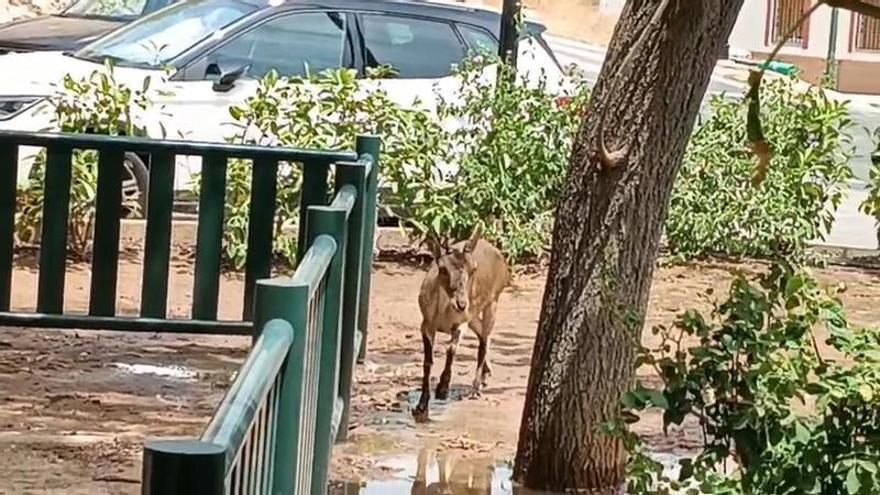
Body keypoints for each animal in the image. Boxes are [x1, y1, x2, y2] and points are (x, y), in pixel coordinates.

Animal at [412, 226, 510, 422]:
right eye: (442, 269)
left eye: (473, 269)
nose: (461, 303)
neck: (443, 314)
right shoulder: (426, 324)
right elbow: (428, 362)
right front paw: (421, 405)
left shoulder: (461, 323)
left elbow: (451, 348)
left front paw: (442, 389)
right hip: (474, 315)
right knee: (483, 335)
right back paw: (486, 372)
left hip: (492, 301)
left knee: (484, 340)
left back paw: (475, 387)